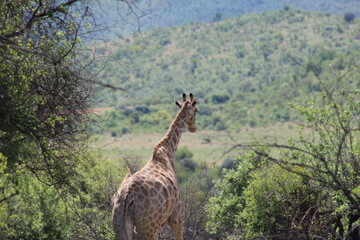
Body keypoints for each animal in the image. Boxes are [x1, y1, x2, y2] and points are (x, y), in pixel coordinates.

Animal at [111, 93, 198, 239]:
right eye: (196, 110)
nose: (194, 128)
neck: (166, 153)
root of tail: (127, 197)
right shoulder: (177, 216)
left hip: (120, 225)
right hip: (147, 228)